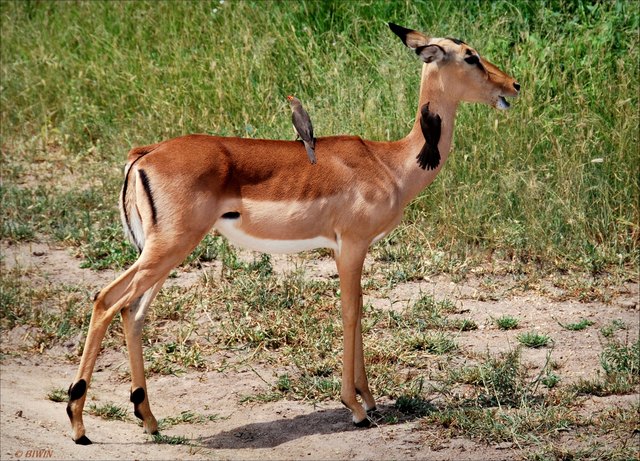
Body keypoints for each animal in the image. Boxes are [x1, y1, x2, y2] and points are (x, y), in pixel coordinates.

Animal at [66, 22, 519, 444]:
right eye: (470, 56)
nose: (513, 85)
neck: (390, 163)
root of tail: (144, 155)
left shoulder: (349, 249)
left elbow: (359, 312)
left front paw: (370, 401)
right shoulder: (351, 246)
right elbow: (350, 312)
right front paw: (355, 408)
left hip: (164, 252)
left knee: (132, 311)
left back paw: (148, 419)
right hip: (169, 247)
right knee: (105, 300)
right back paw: (78, 423)